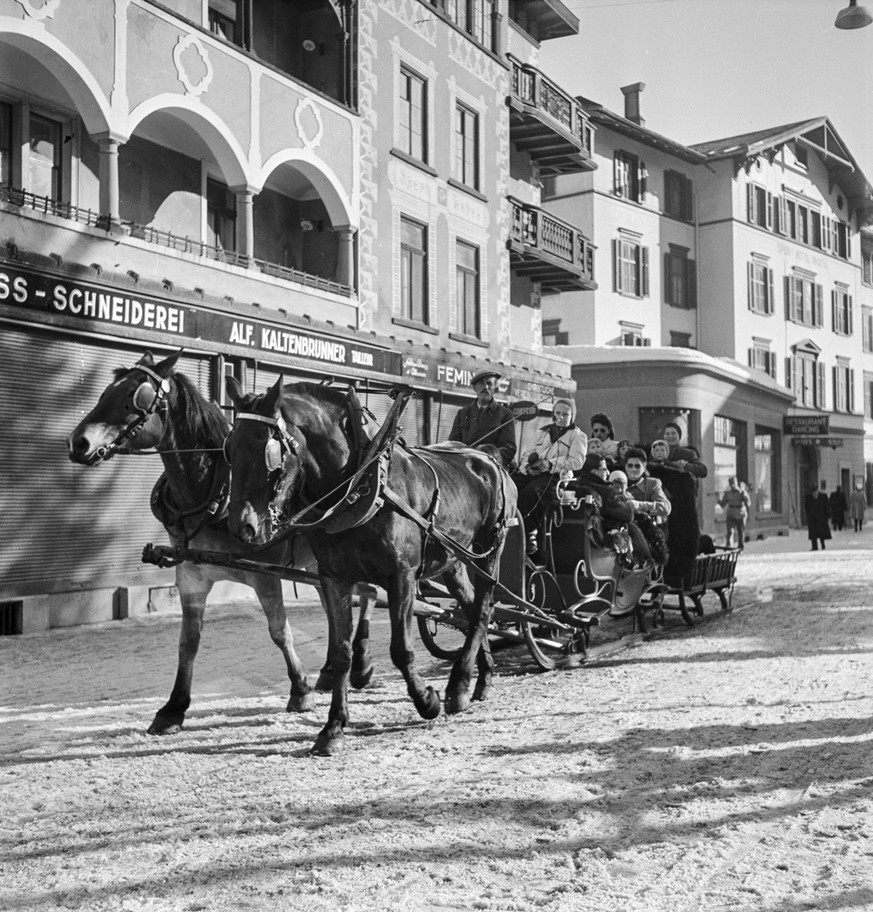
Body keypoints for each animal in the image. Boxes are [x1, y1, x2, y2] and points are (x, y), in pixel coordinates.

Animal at [64, 352, 372, 736]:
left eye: (135, 397)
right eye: (106, 391)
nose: (78, 442)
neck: (214, 492)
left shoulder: (264, 575)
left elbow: (279, 631)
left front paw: (299, 689)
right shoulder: (191, 574)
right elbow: (188, 641)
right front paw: (173, 707)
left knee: (364, 594)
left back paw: (358, 663)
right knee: (337, 606)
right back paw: (332, 671)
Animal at [221, 378, 516, 756]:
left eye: (266, 450)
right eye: (230, 448)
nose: (241, 526)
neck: (356, 482)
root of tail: (487, 456)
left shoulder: (402, 576)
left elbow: (400, 649)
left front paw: (426, 701)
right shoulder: (333, 578)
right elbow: (341, 652)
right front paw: (333, 727)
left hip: (489, 550)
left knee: (481, 610)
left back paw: (459, 684)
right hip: (454, 559)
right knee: (473, 608)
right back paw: (481, 678)